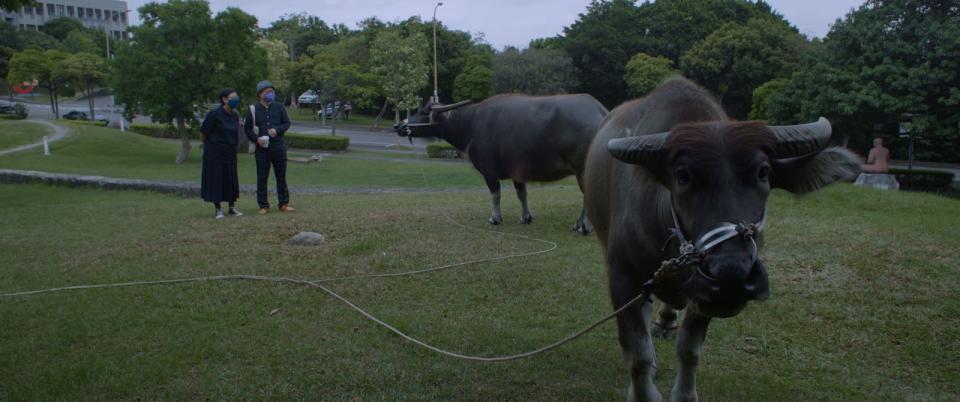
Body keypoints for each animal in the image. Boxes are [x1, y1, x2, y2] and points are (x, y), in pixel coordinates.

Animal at [392, 94, 604, 232]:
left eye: (423, 112)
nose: (398, 126)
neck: (471, 124)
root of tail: (602, 113)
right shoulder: (518, 172)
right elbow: (522, 194)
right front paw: (525, 218)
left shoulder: (489, 172)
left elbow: (495, 194)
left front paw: (494, 218)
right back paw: (579, 224)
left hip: (582, 169)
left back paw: (584, 226)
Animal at [584, 79, 864, 402]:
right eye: (682, 176)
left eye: (763, 173)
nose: (733, 274)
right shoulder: (622, 274)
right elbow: (637, 353)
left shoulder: (706, 293)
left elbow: (690, 348)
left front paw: (684, 394)